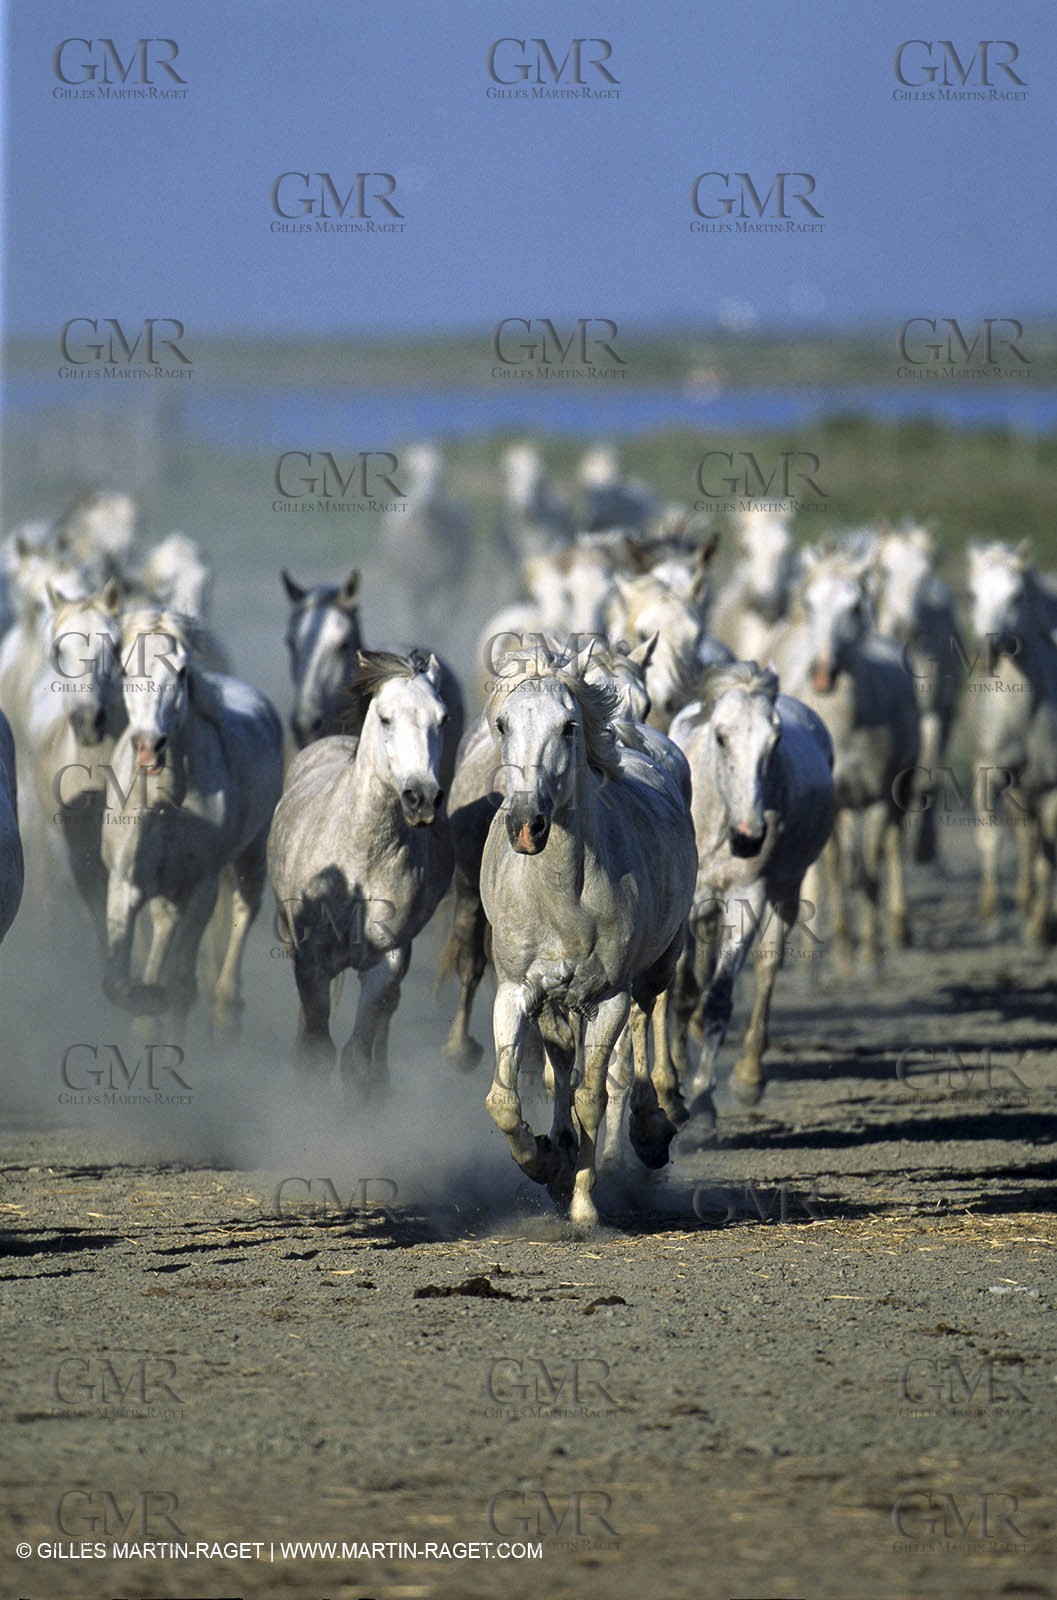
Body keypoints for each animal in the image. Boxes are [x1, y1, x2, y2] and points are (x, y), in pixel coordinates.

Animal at [101, 607, 284, 1039]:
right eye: (126, 668)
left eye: (181, 671)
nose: (149, 747)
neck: (167, 803)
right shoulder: (125, 883)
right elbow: (118, 982)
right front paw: (146, 1004)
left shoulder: (202, 887)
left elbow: (182, 984)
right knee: (165, 925)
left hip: (251, 855)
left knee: (244, 910)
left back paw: (226, 1010)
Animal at [268, 649, 454, 1093]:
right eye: (385, 718)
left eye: (442, 718)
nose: (422, 798)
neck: (360, 859)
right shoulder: (311, 958)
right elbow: (316, 1051)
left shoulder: (387, 959)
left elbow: (356, 1054)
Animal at [479, 654, 696, 1229]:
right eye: (503, 724)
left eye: (568, 726)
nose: (527, 825)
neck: (561, 896)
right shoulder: (516, 990)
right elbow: (505, 1101)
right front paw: (543, 1161)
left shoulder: (607, 997)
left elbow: (592, 1095)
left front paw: (581, 1207)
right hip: (553, 999)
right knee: (559, 1063)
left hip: (658, 964)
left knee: (646, 1018)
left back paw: (651, 1128)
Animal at [668, 663, 835, 1127]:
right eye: (721, 737)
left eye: (773, 741)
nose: (749, 837)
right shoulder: (687, 904)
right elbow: (682, 992)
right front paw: (673, 1082)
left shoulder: (749, 896)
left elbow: (718, 998)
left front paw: (703, 1103)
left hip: (787, 890)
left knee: (766, 968)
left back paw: (748, 1076)